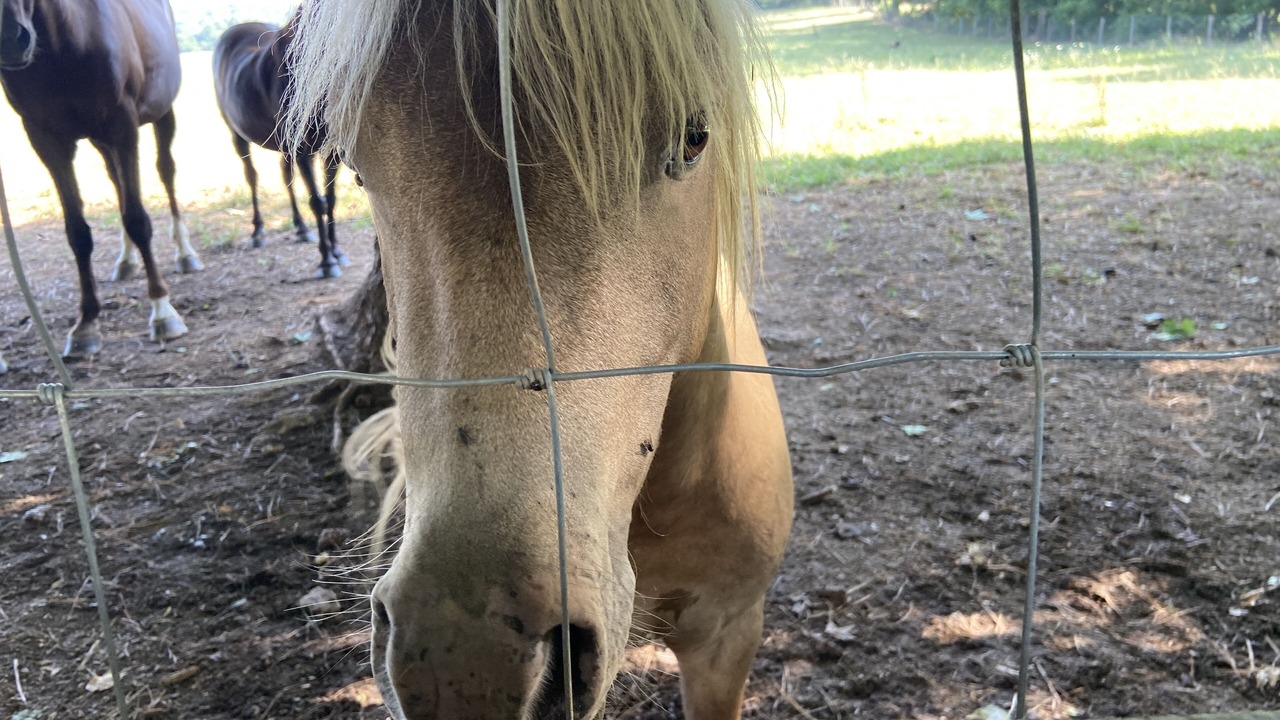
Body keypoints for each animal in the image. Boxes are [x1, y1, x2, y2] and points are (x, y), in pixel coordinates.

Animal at [0, 0, 202, 357]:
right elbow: (77, 232)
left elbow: (137, 219)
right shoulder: (46, 141)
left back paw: (184, 252)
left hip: (161, 114)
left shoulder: (123, 125)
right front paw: (86, 324)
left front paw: (162, 310)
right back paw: (126, 260)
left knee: (166, 172)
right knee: (116, 181)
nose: (9, 38)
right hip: (100, 140)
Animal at [213, 12, 347, 279]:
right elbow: (317, 201)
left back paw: (301, 228)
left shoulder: (332, 151)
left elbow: (331, 199)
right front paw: (326, 261)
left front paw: (336, 251)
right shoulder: (302, 150)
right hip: (237, 134)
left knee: (286, 177)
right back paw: (257, 232)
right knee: (251, 177)